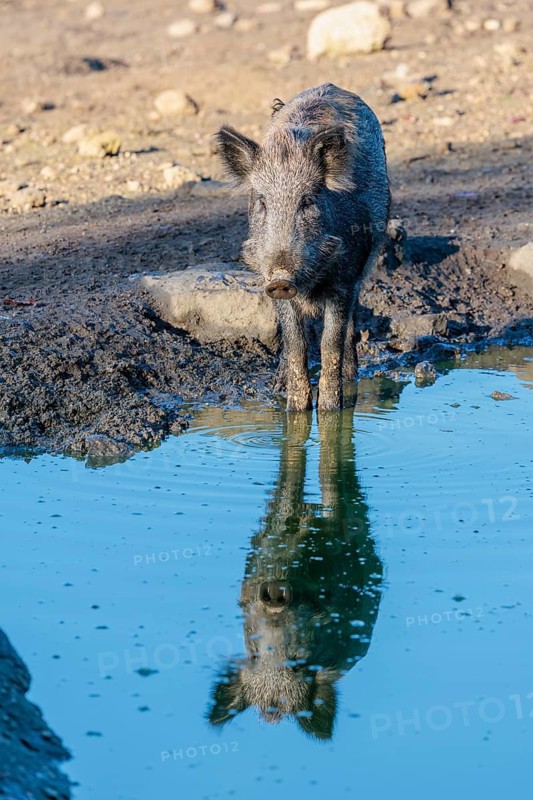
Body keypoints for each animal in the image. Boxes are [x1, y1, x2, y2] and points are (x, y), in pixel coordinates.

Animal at [215, 82, 390, 411]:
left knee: (349, 328)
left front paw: (332, 410)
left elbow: (330, 343)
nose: (281, 279)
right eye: (262, 202)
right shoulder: (272, 285)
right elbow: (296, 343)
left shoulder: (345, 280)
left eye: (308, 201)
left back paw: (351, 378)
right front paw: (294, 409)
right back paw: (279, 385)